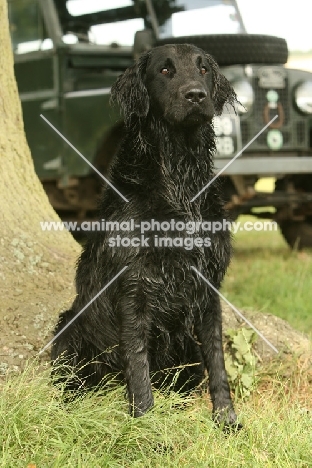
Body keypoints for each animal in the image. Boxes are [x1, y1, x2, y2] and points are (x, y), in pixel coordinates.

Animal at [52, 45, 240, 430]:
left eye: (203, 69)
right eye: (165, 70)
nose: (196, 95)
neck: (179, 178)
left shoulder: (208, 284)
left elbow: (217, 361)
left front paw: (226, 420)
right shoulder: (134, 286)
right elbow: (138, 364)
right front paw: (145, 424)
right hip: (68, 327)